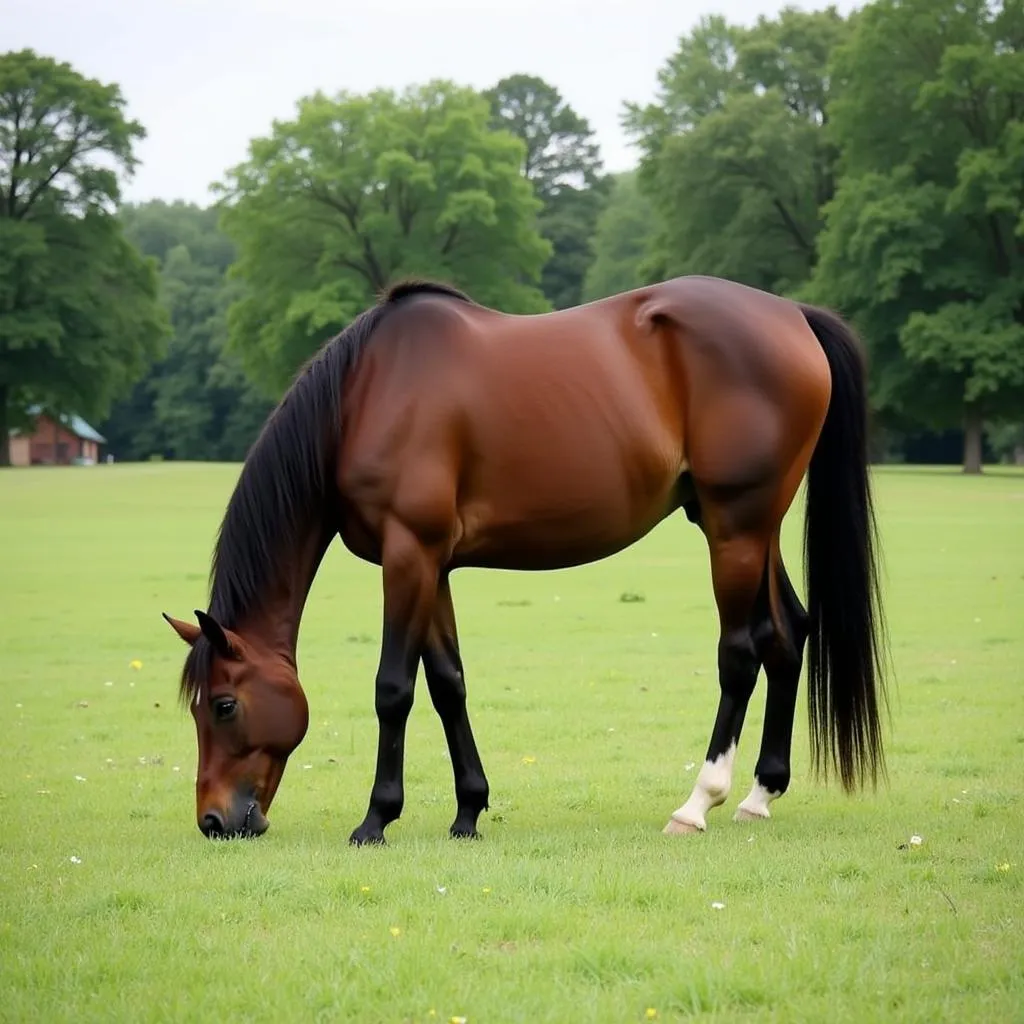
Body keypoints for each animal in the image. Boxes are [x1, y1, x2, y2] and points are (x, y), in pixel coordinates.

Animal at [161, 272, 888, 839]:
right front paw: (468, 812)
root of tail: (793, 315)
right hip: (747, 527)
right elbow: (448, 683)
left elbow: (394, 688)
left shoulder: (407, 553)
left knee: (740, 652)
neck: (364, 396)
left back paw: (696, 804)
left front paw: (376, 819)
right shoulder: (433, 564)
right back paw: (760, 796)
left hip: (736, 527)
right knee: (787, 634)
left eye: (223, 705)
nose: (214, 821)